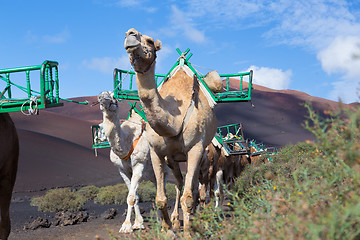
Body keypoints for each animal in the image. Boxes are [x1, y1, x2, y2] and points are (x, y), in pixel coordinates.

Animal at [97, 91, 183, 232]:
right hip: (152, 173)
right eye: (101, 95)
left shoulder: (139, 163)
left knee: (163, 187)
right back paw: (161, 220)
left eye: (113, 97)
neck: (126, 143)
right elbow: (135, 196)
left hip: (163, 168)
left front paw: (126, 226)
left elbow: (131, 197)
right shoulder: (122, 170)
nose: (102, 98)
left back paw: (165, 221)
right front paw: (138, 223)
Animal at [124, 28, 218, 232]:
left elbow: (189, 197)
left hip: (201, 154)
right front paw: (167, 228)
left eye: (150, 41)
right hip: (173, 158)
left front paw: (188, 232)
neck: (173, 121)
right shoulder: (156, 152)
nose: (130, 34)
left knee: (195, 185)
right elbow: (160, 198)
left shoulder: (195, 149)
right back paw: (176, 220)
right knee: (180, 183)